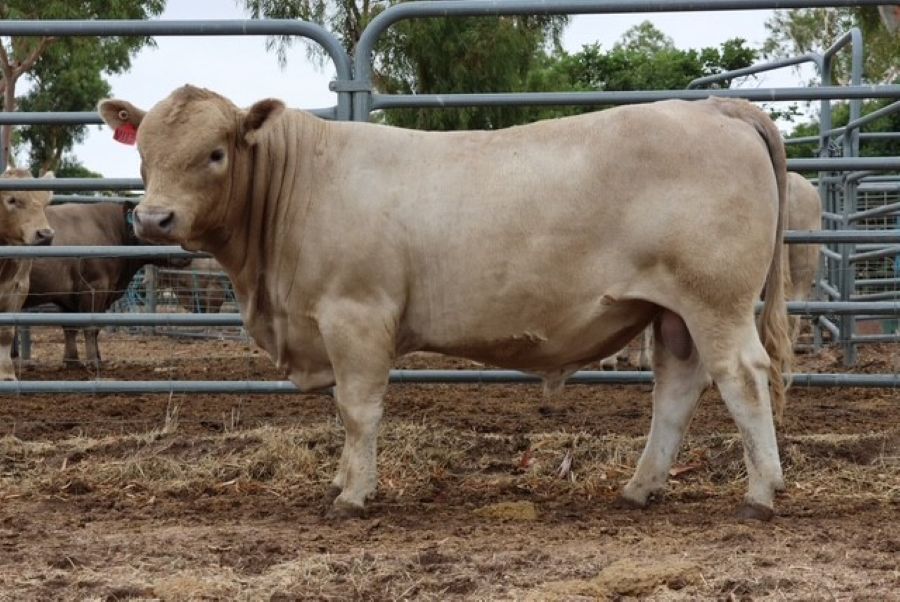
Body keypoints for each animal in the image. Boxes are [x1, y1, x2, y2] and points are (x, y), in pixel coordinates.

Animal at [0, 169, 54, 380]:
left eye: (45, 203)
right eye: (12, 199)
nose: (45, 235)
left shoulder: (18, 288)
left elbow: (6, 332)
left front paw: (6, 373)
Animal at [23, 201, 186, 367]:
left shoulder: (67, 296)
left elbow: (70, 328)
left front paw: (73, 361)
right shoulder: (95, 287)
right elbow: (91, 327)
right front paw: (93, 361)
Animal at [99, 86, 792, 520]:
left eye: (215, 154)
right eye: (145, 153)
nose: (153, 218)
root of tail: (715, 107)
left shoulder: (356, 314)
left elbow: (357, 410)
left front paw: (352, 495)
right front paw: (341, 479)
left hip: (715, 299)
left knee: (742, 378)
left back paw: (760, 494)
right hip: (674, 313)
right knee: (677, 388)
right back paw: (639, 488)